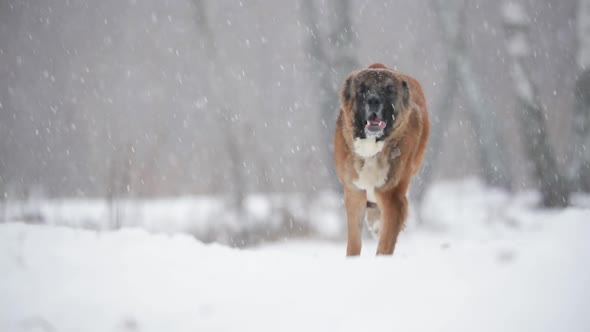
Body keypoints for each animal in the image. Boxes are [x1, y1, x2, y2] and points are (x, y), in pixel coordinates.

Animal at [332, 63, 430, 255]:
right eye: (362, 89)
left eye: (389, 90)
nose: (373, 101)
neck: (372, 150)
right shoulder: (354, 192)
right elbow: (354, 243)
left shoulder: (393, 197)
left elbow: (385, 245)